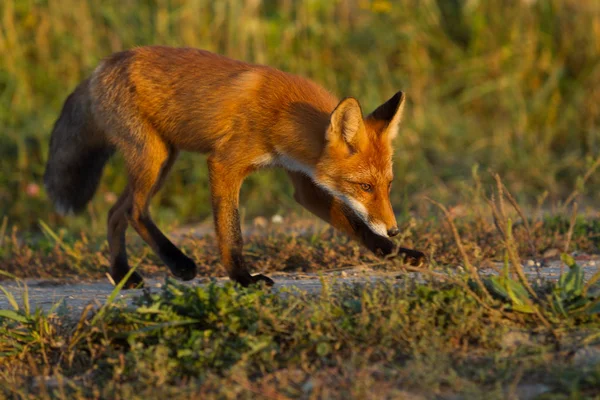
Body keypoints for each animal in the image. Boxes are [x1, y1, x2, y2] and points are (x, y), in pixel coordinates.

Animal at [44, 47, 424, 290]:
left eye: (388, 186)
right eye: (364, 187)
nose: (394, 230)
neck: (283, 113)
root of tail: (101, 66)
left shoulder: (305, 182)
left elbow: (358, 228)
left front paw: (395, 254)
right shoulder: (224, 163)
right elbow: (231, 231)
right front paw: (243, 279)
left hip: (163, 160)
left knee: (115, 212)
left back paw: (122, 274)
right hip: (153, 158)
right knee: (135, 211)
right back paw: (178, 263)